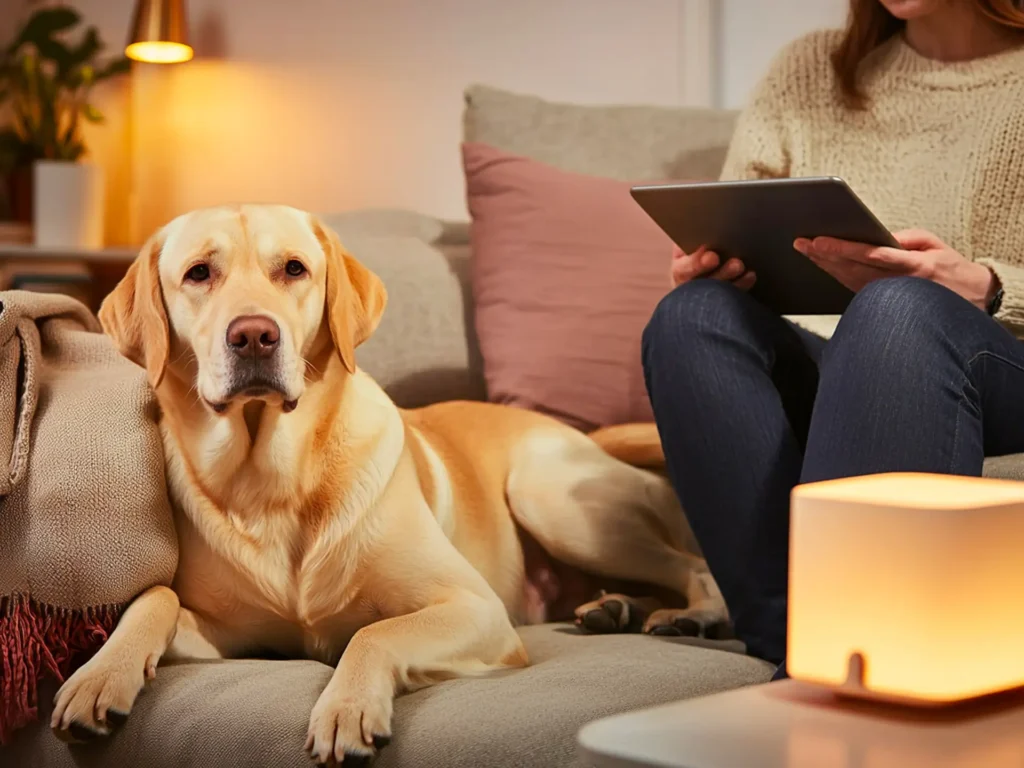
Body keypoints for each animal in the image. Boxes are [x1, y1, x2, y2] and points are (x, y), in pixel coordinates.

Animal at [46, 207, 720, 765]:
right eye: (198, 273)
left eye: (294, 269)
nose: (254, 335)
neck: (275, 482)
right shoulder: (236, 634)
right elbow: (153, 597)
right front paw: (99, 676)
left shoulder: (476, 607)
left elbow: (373, 633)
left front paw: (346, 709)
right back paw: (615, 607)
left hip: (551, 500)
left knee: (693, 564)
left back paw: (692, 616)